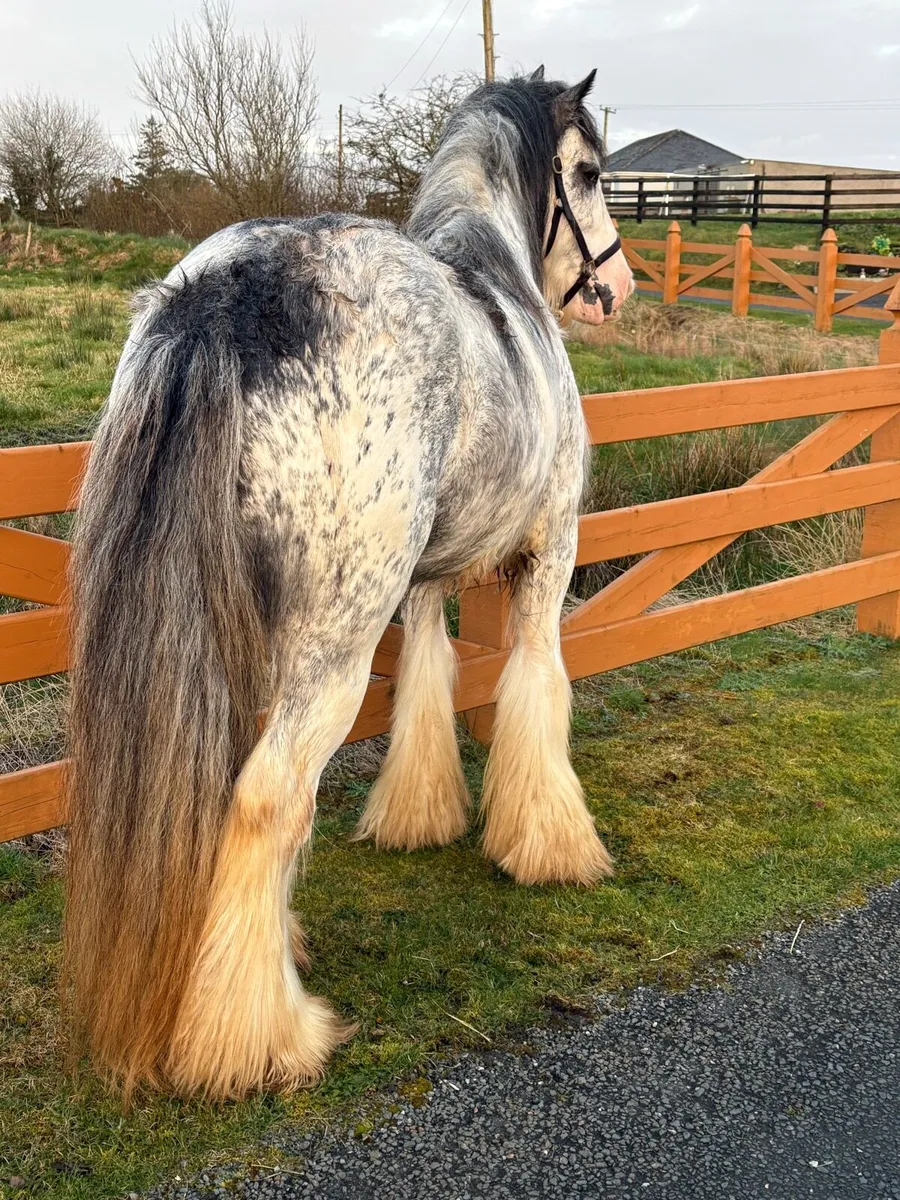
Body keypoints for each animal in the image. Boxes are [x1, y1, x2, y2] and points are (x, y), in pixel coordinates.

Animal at [63, 67, 634, 1101]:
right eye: (591, 173)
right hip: (330, 647)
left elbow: (428, 683)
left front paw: (419, 816)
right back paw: (256, 1038)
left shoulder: (424, 584)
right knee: (267, 798)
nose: (618, 286)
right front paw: (551, 845)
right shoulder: (551, 556)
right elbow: (537, 686)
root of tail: (229, 293)